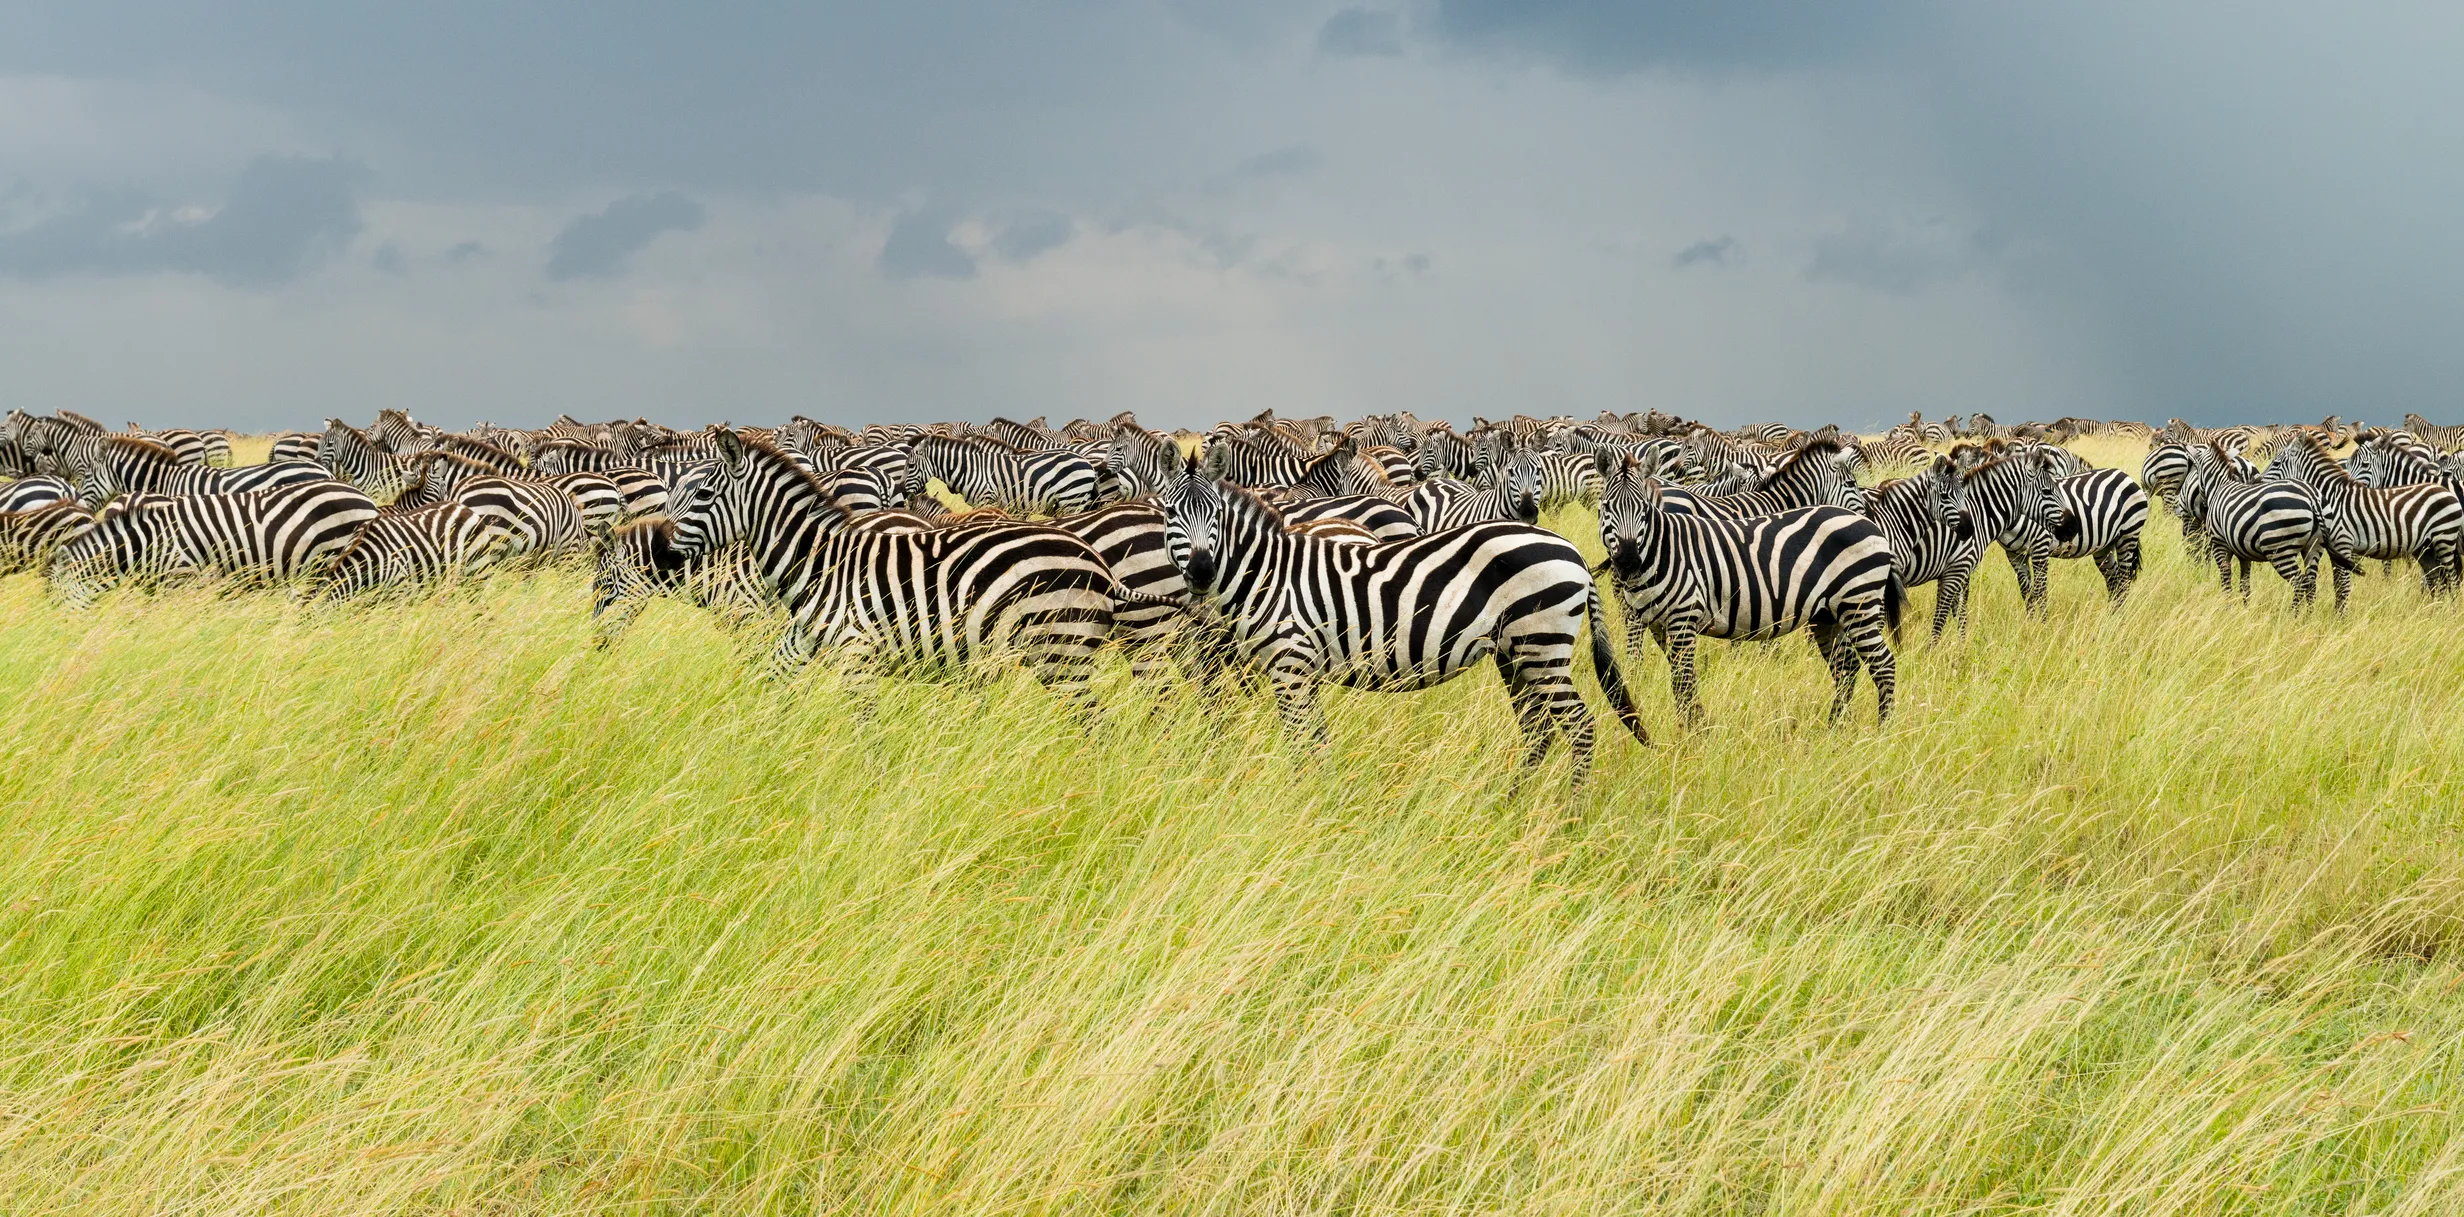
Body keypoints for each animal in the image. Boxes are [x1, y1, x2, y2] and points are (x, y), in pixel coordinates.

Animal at [905, 434, 1101, 515]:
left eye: (911, 465)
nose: (906, 495)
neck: (970, 469)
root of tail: (1088, 464)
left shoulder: (986, 500)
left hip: (1072, 500)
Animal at [1160, 456, 1644, 788]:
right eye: (1169, 515)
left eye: (1215, 516)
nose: (1200, 572)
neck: (1269, 575)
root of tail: (1573, 550)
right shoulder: (1301, 671)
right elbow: (1317, 740)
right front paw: (1322, 797)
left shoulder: (1291, 667)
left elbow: (1301, 743)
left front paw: (1304, 803)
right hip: (1515, 653)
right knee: (1538, 727)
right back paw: (1512, 802)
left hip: (1542, 643)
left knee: (1579, 726)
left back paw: (1570, 815)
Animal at [1596, 456, 1902, 726]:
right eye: (1606, 508)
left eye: (1644, 510)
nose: (1628, 561)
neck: (1664, 549)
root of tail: (1871, 527)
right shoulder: (1660, 624)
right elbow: (1682, 677)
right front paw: (1696, 726)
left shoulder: (1684, 618)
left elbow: (1682, 680)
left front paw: (1691, 734)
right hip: (1828, 615)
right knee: (1847, 666)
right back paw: (1835, 727)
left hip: (1858, 603)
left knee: (1884, 665)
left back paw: (1882, 731)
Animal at [2270, 430, 2462, 594]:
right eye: (2347, 464)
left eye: (2276, 463)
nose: (2260, 482)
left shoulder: (2344, 542)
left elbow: (2342, 586)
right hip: (2428, 546)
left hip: (2444, 540)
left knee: (2450, 579)